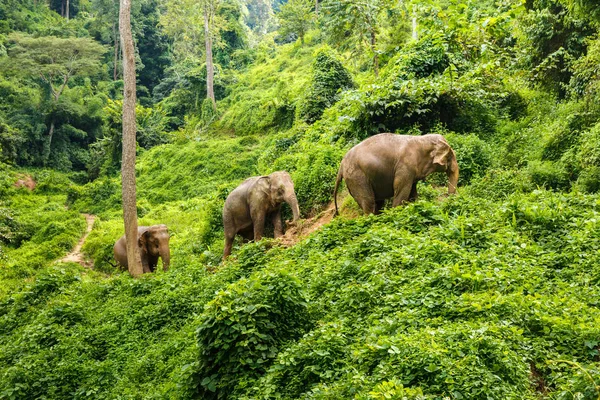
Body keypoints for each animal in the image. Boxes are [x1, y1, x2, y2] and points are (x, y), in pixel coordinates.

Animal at [332, 134, 460, 216]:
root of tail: (341, 166)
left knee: (377, 203)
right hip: (357, 177)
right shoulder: (405, 166)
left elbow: (412, 192)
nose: (447, 199)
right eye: (449, 157)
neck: (421, 139)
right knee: (369, 202)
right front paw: (396, 213)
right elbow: (401, 189)